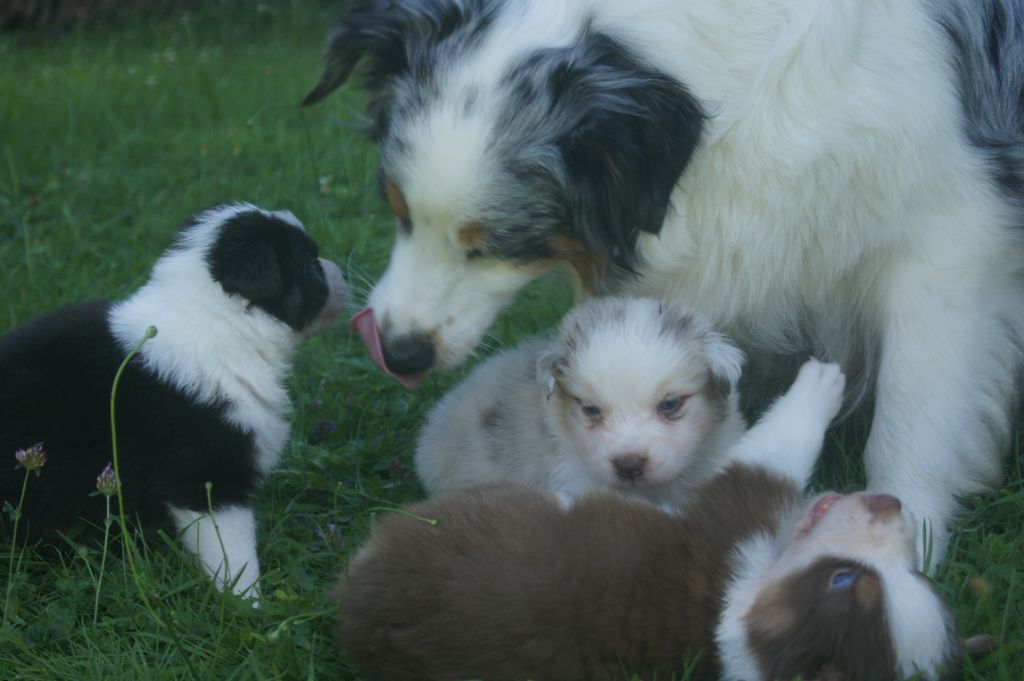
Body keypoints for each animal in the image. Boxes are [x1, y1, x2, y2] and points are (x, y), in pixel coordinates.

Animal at [0, 204, 348, 598]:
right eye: (309, 263)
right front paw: (245, 602)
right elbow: (231, 550)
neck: (224, 324)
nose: (344, 272)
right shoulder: (208, 475)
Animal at [335, 360, 983, 679]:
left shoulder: (732, 514)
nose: (891, 504)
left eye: (844, 581)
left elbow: (778, 444)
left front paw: (820, 378)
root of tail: (355, 592)